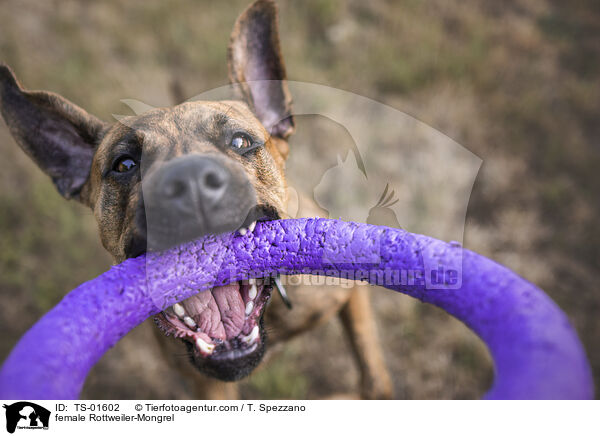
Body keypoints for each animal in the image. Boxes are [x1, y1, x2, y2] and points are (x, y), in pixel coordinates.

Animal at [0, 0, 394, 398]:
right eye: (124, 164)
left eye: (240, 141)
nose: (189, 181)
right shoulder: (206, 385)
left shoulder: (350, 294)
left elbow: (372, 374)